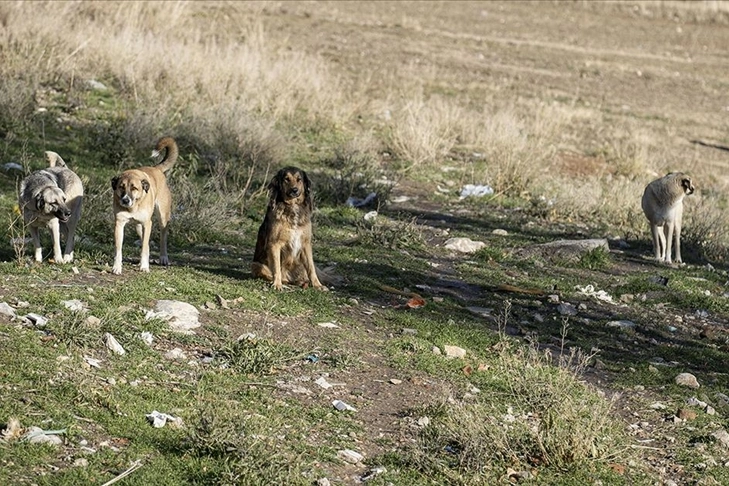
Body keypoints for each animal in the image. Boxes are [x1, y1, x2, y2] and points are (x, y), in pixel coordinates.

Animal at [111, 137, 179, 274]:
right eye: (121, 187)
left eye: (134, 188)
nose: (125, 201)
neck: (133, 207)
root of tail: (157, 169)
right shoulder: (119, 224)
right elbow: (118, 249)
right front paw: (117, 267)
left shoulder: (147, 223)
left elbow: (144, 248)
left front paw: (144, 266)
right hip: (139, 227)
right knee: (145, 242)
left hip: (162, 218)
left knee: (162, 238)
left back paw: (163, 258)